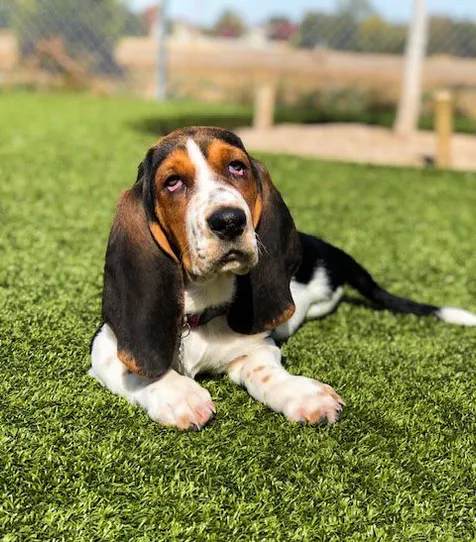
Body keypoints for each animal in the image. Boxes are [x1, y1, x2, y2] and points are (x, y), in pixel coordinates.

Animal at [90, 125, 476, 432]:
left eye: (237, 167)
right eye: (172, 183)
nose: (229, 221)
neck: (201, 312)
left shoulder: (257, 347)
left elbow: (267, 372)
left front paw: (303, 393)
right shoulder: (105, 347)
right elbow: (139, 370)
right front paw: (180, 394)